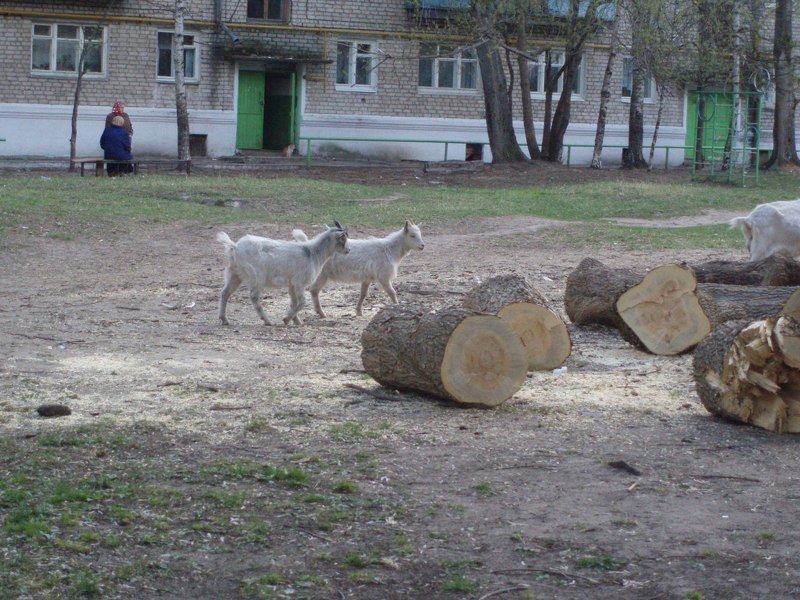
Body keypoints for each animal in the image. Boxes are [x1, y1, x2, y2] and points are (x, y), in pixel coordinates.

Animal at [217, 223, 349, 326]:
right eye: (343, 238)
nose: (348, 250)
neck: (312, 253)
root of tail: (234, 247)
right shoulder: (299, 282)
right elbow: (302, 302)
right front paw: (286, 319)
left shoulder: (291, 285)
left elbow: (293, 302)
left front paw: (296, 321)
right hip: (256, 276)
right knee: (254, 297)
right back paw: (267, 321)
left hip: (234, 273)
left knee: (225, 293)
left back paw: (224, 319)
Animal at [292, 219, 425, 317]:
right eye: (412, 235)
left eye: (420, 234)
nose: (422, 246)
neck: (389, 249)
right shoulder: (383, 276)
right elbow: (392, 292)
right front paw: (397, 306)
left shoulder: (367, 278)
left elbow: (363, 294)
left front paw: (359, 312)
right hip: (322, 274)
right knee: (314, 290)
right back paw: (321, 313)